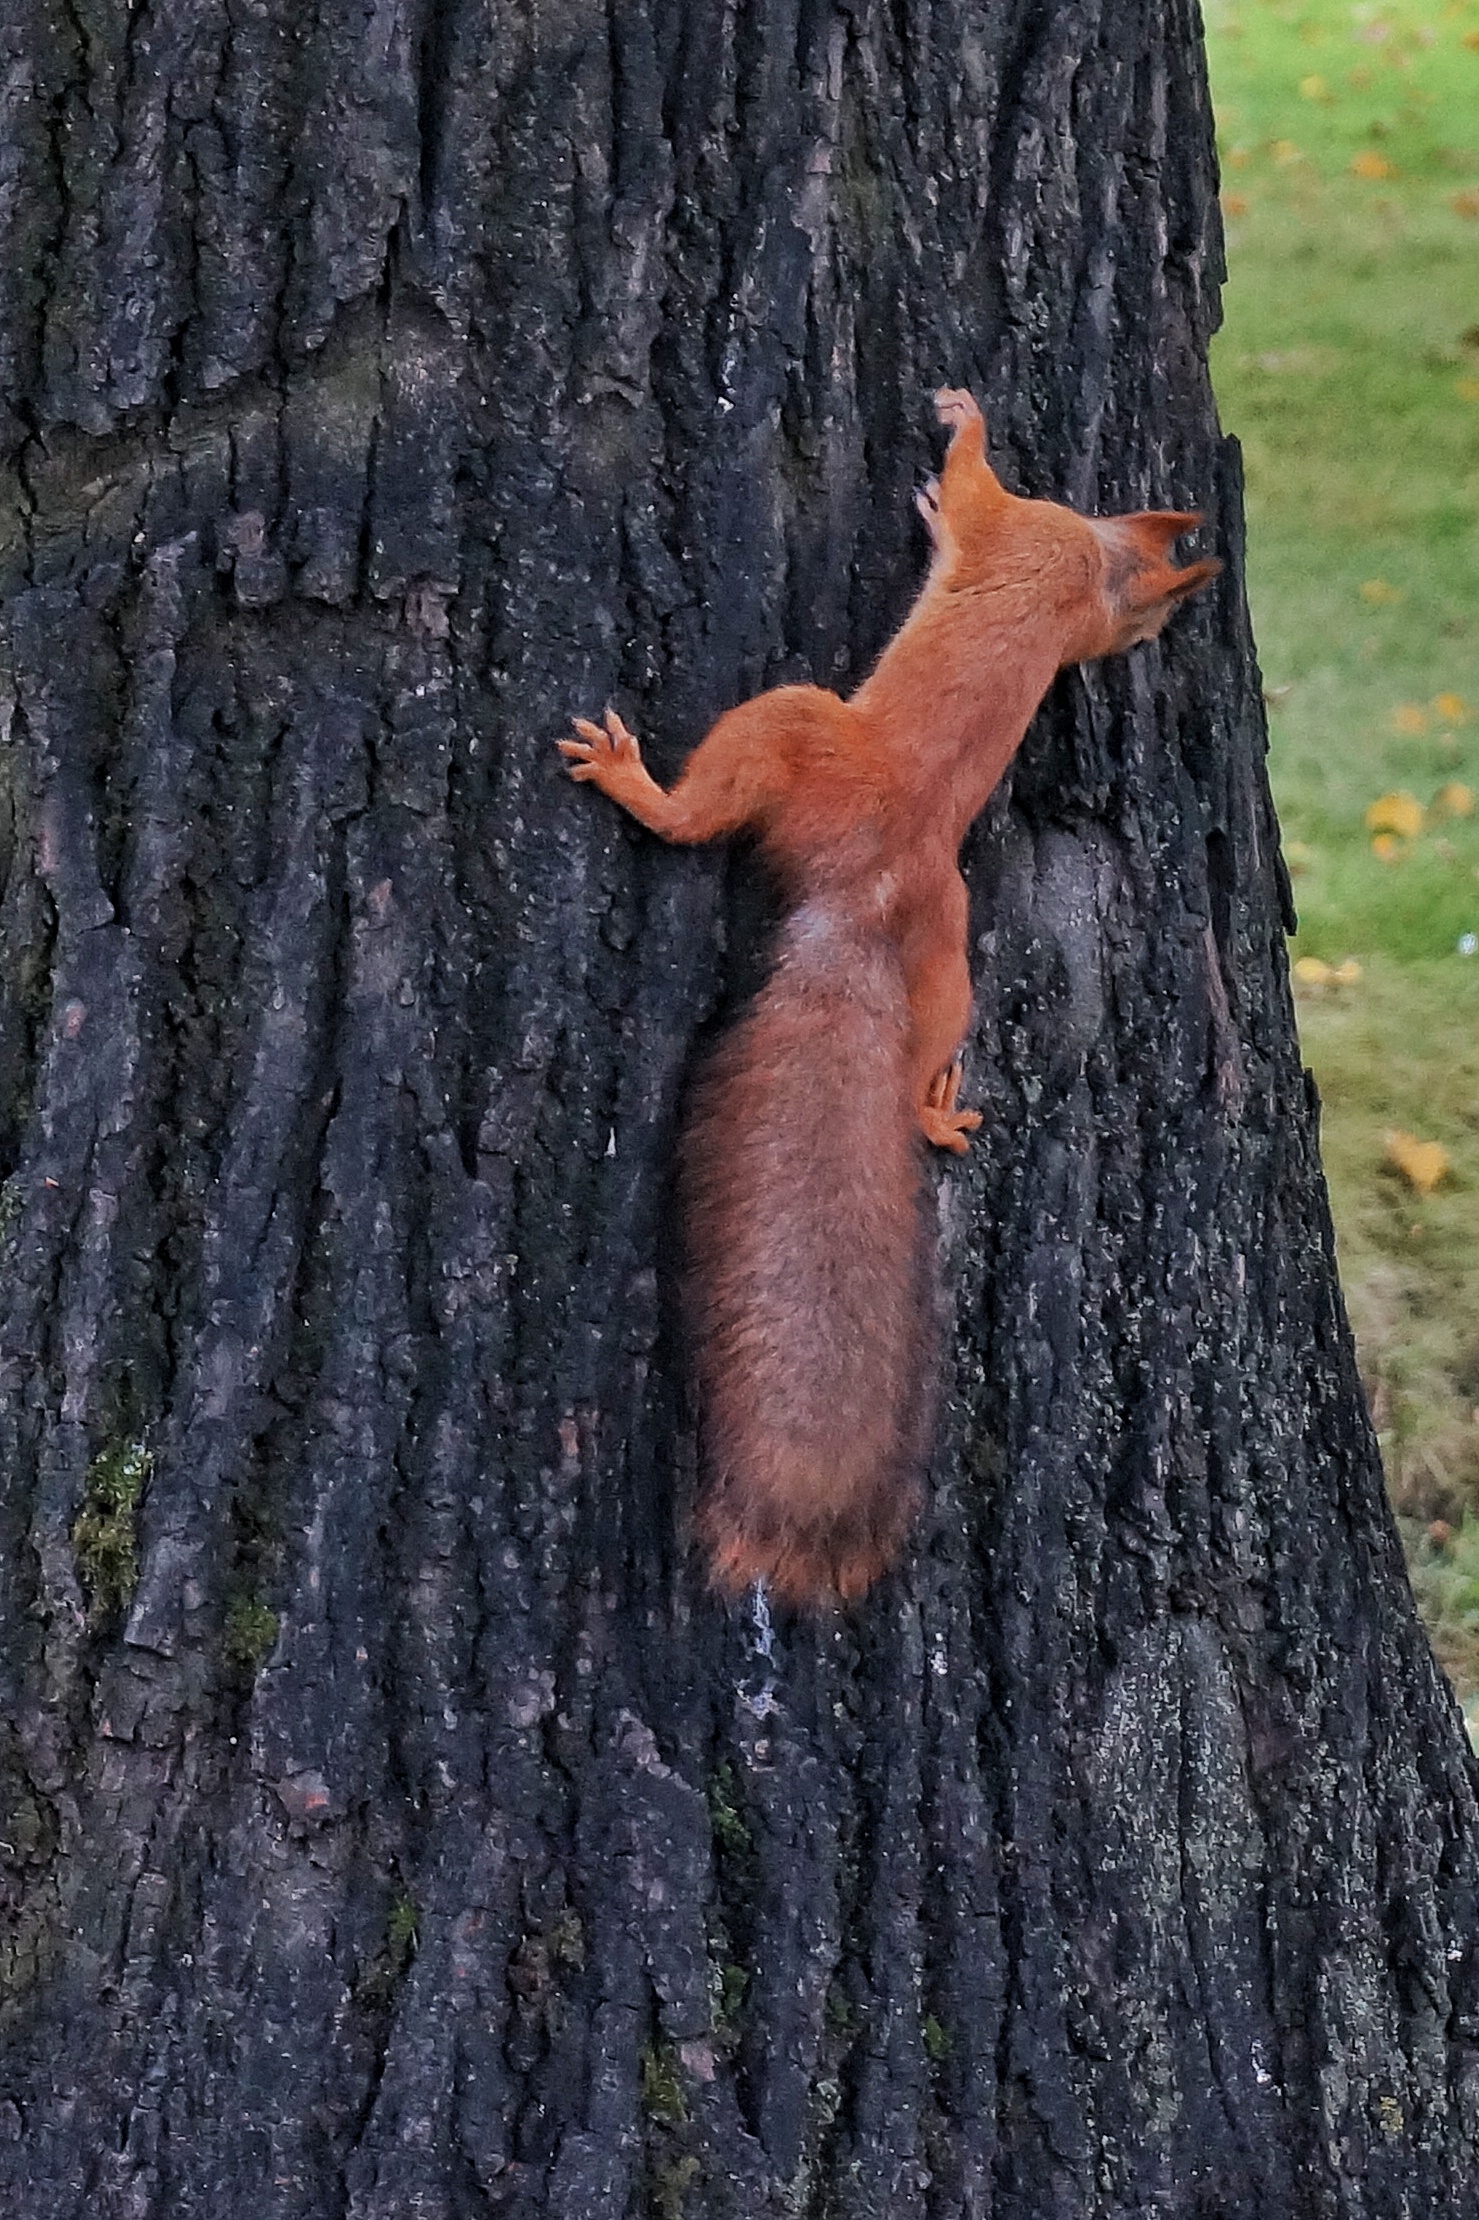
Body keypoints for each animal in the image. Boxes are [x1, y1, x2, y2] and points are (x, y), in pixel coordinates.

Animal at [559, 395, 1216, 1616]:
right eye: (1150, 619)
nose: (1147, 645)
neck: (1091, 560)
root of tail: (870, 887)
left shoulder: (1018, 527)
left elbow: (976, 490)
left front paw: (964, 425)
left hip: (793, 724)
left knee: (700, 815)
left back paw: (637, 784)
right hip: (947, 965)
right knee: (933, 1033)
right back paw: (930, 1112)